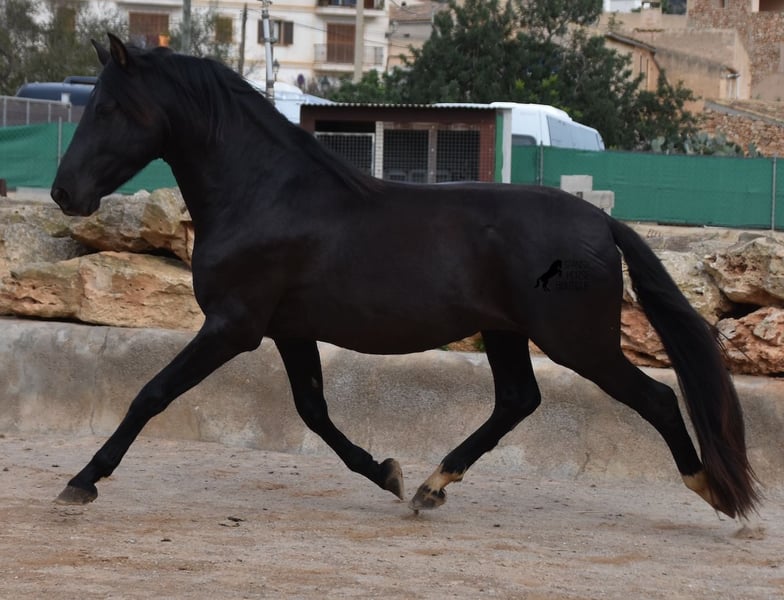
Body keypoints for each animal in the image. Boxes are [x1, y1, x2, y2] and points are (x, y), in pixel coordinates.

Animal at [51, 34, 759, 519]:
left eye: (109, 107)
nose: (63, 193)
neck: (266, 195)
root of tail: (601, 221)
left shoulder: (233, 326)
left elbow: (151, 394)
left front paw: (82, 481)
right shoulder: (288, 330)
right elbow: (314, 412)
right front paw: (387, 472)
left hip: (577, 342)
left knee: (656, 399)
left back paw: (713, 491)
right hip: (506, 332)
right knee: (517, 400)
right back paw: (429, 486)